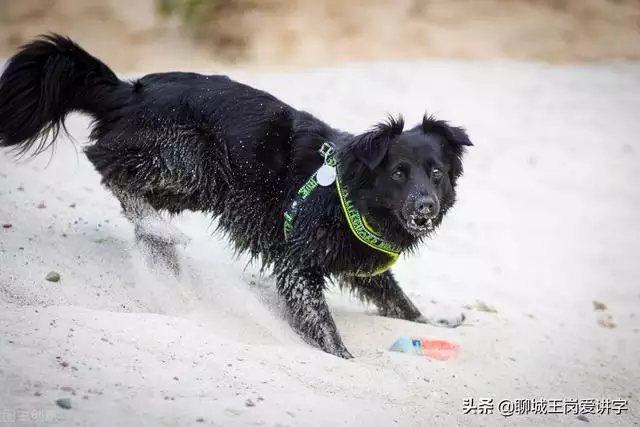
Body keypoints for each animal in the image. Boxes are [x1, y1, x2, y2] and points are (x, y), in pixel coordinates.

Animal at [0, 34, 470, 358]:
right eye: (398, 173)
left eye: (436, 174)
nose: (425, 208)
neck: (349, 194)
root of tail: (128, 91)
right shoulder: (298, 263)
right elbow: (322, 321)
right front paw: (343, 357)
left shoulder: (357, 257)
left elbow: (397, 299)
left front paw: (435, 321)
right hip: (193, 160)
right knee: (105, 163)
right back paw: (158, 230)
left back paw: (157, 245)